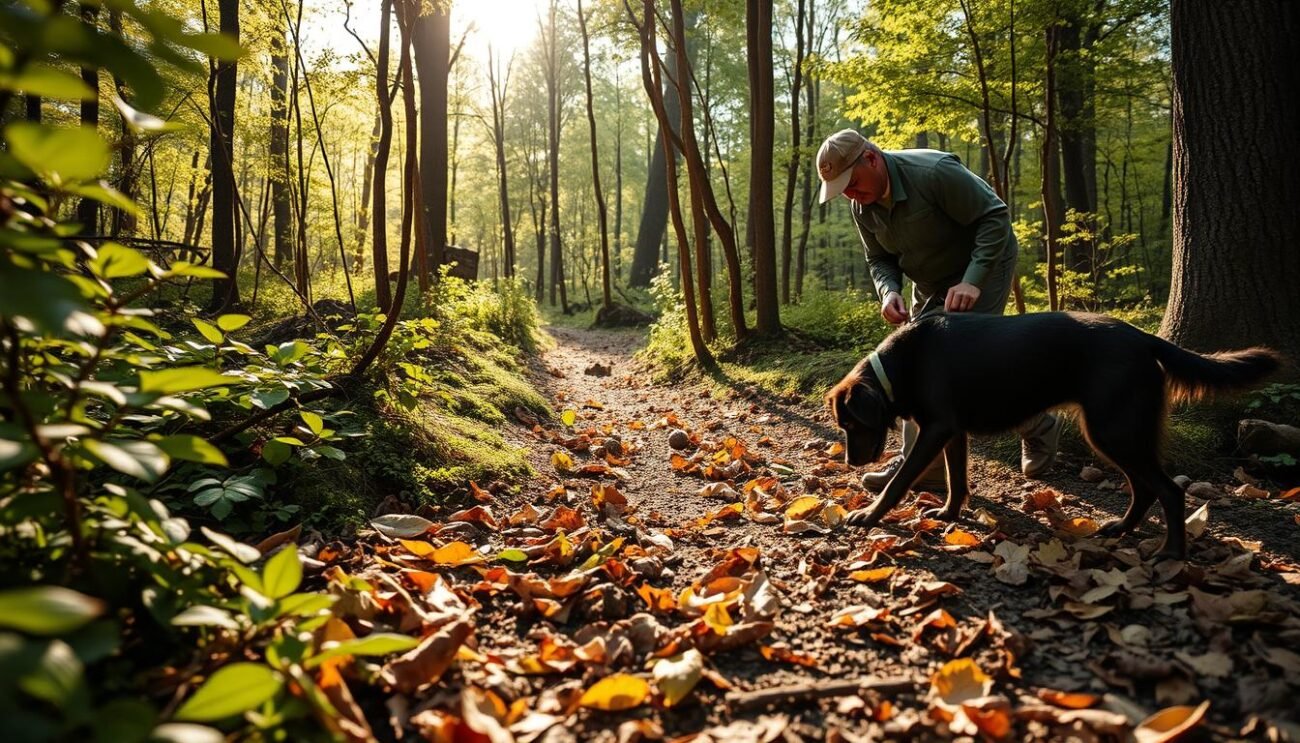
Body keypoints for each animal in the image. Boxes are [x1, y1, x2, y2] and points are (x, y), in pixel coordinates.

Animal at [826, 310, 1284, 561]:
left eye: (851, 425)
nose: (850, 462)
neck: (906, 362)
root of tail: (1143, 337)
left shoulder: (935, 430)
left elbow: (900, 482)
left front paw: (869, 515)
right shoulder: (952, 432)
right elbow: (957, 480)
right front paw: (950, 514)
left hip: (1113, 430)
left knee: (1169, 490)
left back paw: (1171, 552)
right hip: (1114, 433)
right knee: (1145, 488)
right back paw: (1121, 528)